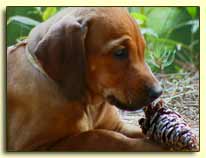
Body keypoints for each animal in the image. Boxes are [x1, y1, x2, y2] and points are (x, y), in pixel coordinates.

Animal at [6, 7, 164, 151]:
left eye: (143, 50)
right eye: (120, 52)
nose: (158, 92)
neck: (88, 104)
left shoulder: (117, 126)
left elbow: (137, 131)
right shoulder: (37, 146)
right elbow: (99, 136)